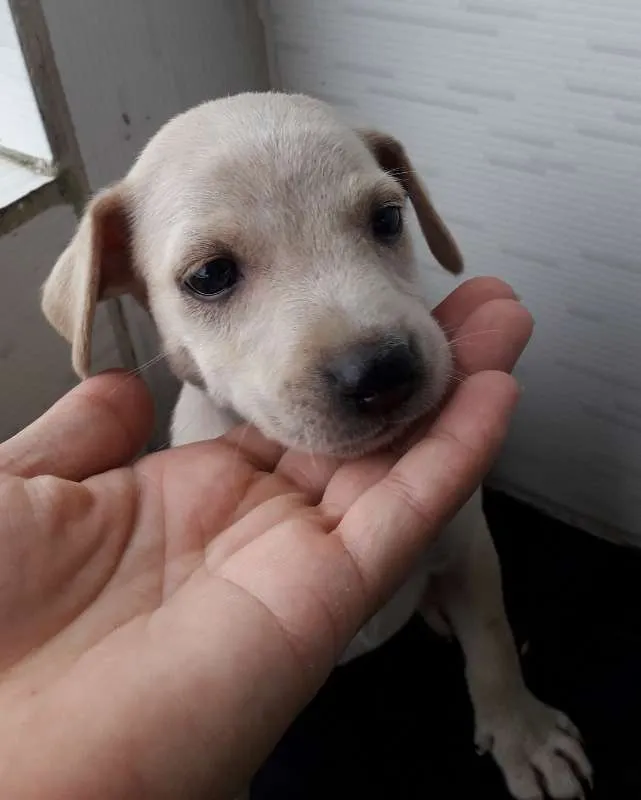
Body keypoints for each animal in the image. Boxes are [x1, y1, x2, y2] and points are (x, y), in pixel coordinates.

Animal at [40, 90, 592, 796]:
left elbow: (492, 637)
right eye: (210, 275)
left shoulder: (468, 541)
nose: (381, 373)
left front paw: (522, 730)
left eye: (388, 219)